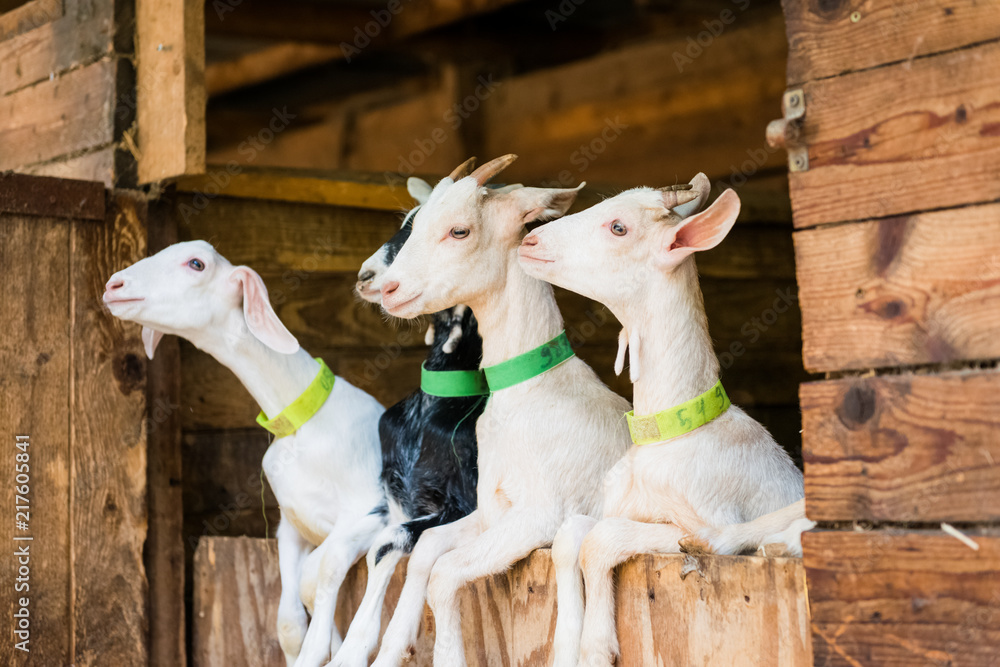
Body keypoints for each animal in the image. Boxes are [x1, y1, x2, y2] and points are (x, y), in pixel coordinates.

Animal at [104, 244, 386, 667]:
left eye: (197, 264)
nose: (114, 285)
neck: (304, 422)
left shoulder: (376, 511)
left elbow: (322, 568)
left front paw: (325, 648)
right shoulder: (290, 525)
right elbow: (288, 620)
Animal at [372, 157, 628, 667]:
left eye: (459, 230)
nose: (387, 287)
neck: (531, 393)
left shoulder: (540, 515)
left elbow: (445, 574)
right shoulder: (487, 510)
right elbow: (427, 549)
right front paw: (395, 644)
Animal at [520, 175, 816, 664]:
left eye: (618, 227)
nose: (529, 241)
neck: (671, 431)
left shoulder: (693, 518)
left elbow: (602, 541)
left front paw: (596, 646)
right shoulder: (613, 506)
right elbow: (569, 537)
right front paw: (566, 646)